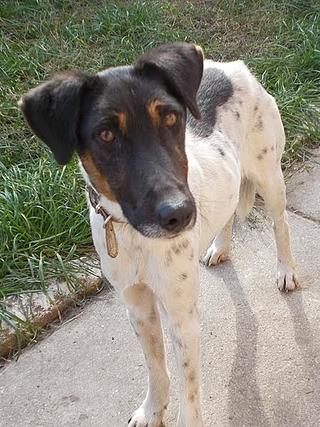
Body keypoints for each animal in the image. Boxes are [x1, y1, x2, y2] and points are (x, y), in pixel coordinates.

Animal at [19, 44, 300, 427]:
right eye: (106, 135)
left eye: (171, 119)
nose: (180, 213)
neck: (137, 237)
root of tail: (233, 66)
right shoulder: (137, 307)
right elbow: (155, 368)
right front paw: (152, 410)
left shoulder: (183, 318)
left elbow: (189, 392)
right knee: (227, 212)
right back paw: (220, 246)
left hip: (269, 175)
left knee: (281, 224)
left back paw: (286, 270)